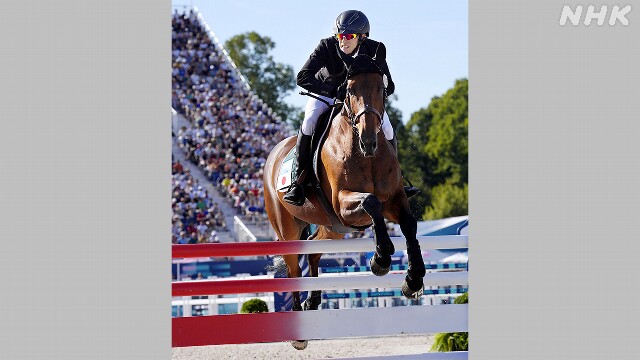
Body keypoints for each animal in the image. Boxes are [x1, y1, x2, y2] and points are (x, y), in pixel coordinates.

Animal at [262, 53, 422, 348]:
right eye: (349, 90)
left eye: (382, 89)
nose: (369, 141)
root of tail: (275, 153)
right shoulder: (343, 204)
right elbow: (371, 203)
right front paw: (381, 259)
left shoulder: (394, 200)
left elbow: (408, 224)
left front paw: (414, 280)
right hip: (290, 227)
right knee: (293, 269)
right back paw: (298, 331)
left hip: (332, 227)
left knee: (313, 250)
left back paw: (313, 301)